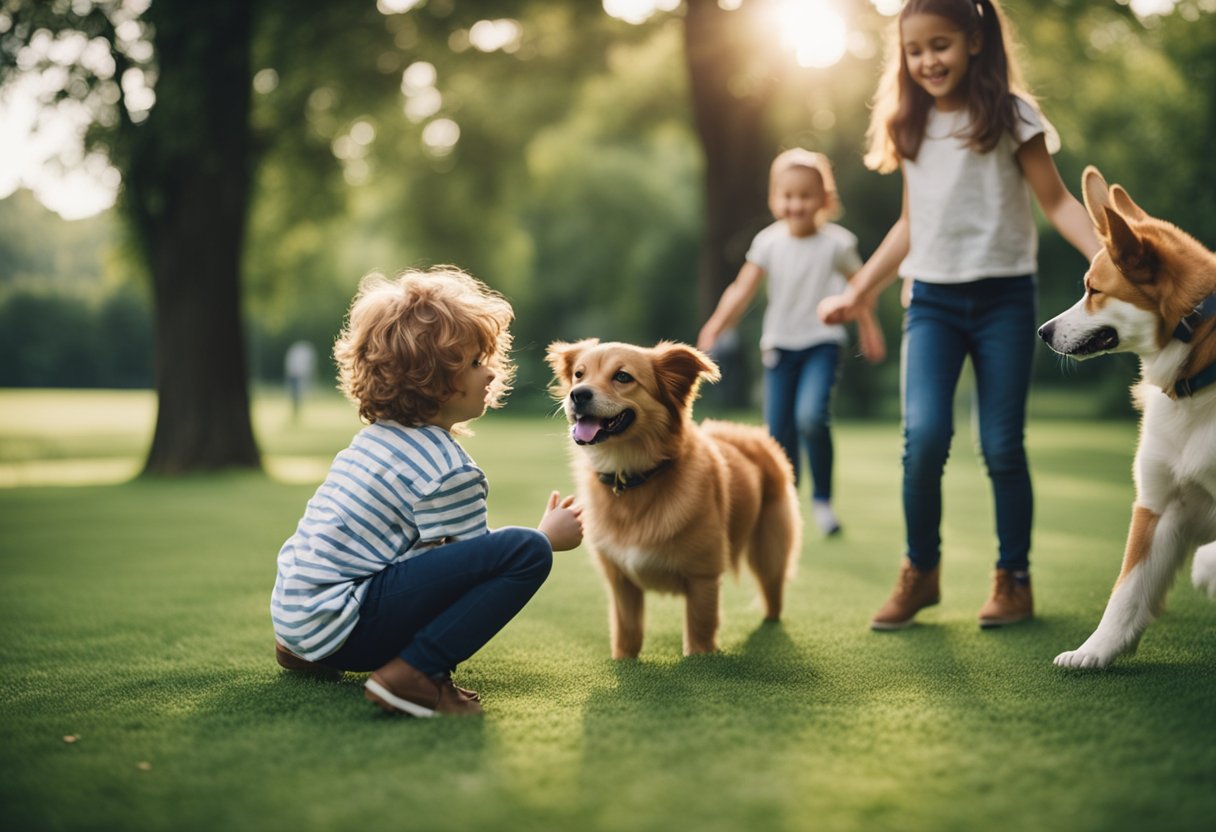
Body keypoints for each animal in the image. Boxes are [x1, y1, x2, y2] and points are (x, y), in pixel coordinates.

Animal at [547, 338, 802, 656]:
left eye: (622, 376)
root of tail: (746, 436)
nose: (577, 394)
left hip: (770, 553)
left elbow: (699, 637)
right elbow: (626, 637)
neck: (632, 479)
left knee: (773, 595)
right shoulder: (621, 584)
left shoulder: (703, 578)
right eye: (579, 375)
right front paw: (623, 660)